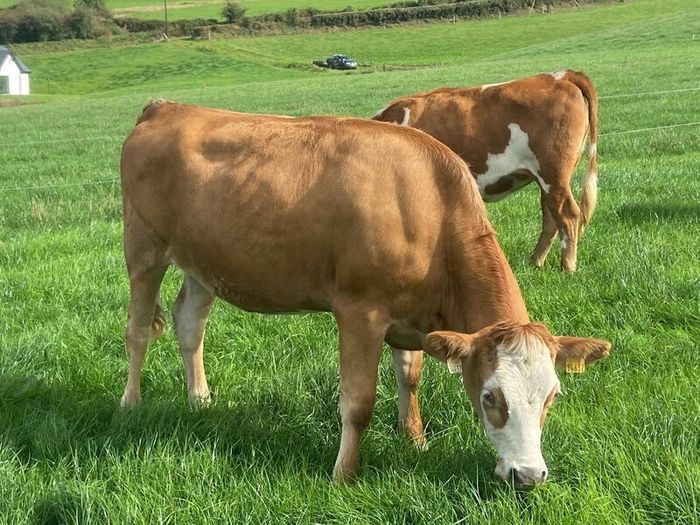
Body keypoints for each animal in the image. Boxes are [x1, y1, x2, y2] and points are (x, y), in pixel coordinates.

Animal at [120, 101, 610, 486]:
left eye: (552, 396)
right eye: (490, 396)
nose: (529, 475)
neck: (431, 209)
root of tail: (166, 107)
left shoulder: (411, 318)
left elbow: (409, 378)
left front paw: (415, 441)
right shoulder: (360, 311)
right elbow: (358, 402)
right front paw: (344, 474)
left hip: (203, 261)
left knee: (189, 322)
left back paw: (199, 400)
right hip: (143, 248)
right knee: (139, 330)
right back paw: (131, 404)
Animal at [372, 70, 599, 272]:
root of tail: (562, 75)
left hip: (552, 174)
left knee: (568, 214)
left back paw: (567, 267)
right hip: (547, 179)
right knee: (551, 217)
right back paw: (535, 261)